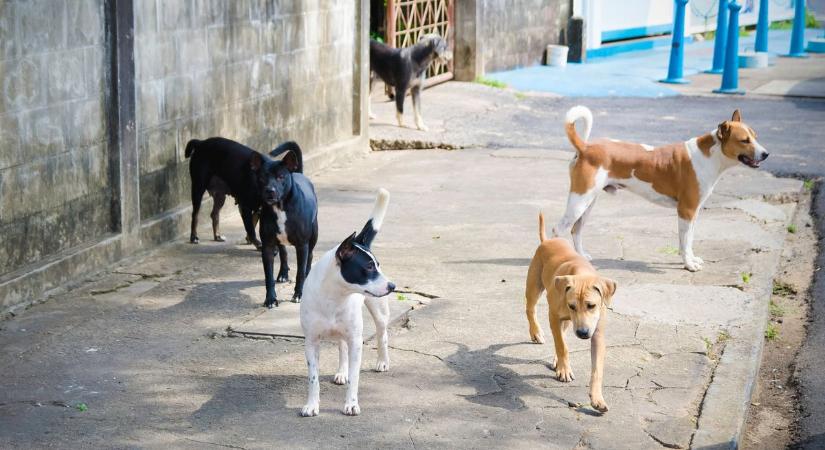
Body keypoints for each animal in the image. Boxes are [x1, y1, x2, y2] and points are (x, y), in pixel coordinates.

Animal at [249, 142, 318, 308]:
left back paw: (307, 274)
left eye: (281, 177)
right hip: (279, 241)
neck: (280, 207)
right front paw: (270, 299)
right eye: (262, 178)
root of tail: (298, 172)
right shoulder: (267, 246)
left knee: (310, 257)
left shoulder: (302, 245)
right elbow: (268, 276)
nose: (270, 191)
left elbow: (300, 272)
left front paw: (298, 294)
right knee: (284, 253)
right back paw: (283, 274)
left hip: (313, 236)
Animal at [300, 188, 396, 416]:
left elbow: (356, 377)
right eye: (368, 266)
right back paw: (342, 371)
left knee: (382, 334)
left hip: (378, 312)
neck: (335, 296)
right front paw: (312, 404)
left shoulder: (356, 342)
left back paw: (382, 361)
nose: (392, 286)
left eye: (377, 265)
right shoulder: (311, 342)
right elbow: (313, 378)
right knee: (341, 346)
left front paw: (351, 403)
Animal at [524, 213, 616, 414]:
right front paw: (565, 369)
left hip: (566, 320)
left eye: (592, 305)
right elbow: (561, 345)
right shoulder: (553, 316)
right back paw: (536, 333)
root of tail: (547, 241)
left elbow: (597, 368)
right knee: (530, 309)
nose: (582, 333)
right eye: (572, 305)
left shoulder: (597, 332)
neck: (581, 273)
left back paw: (556, 361)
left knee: (563, 331)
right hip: (534, 285)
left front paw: (597, 398)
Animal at [552, 105, 768, 270]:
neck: (708, 156)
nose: (766, 154)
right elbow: (685, 241)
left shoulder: (693, 212)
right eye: (744, 140)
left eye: (756, 136)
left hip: (588, 203)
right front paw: (689, 265)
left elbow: (688, 241)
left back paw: (580, 257)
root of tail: (585, 147)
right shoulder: (686, 210)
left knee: (576, 230)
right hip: (579, 202)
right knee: (558, 230)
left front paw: (690, 259)